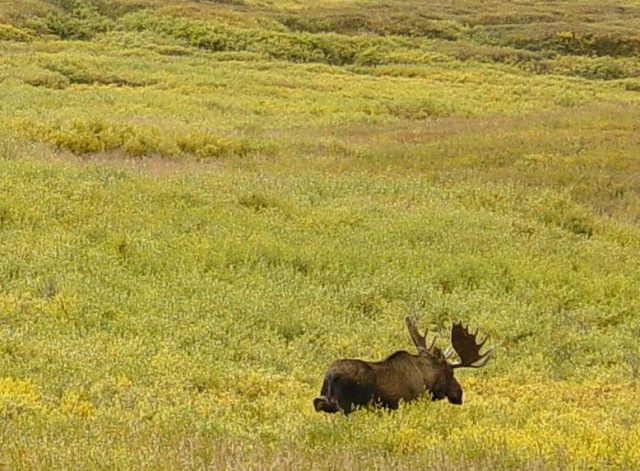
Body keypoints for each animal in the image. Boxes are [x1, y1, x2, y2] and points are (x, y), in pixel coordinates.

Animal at [313, 316, 492, 415]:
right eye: (450, 373)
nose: (459, 393)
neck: (426, 380)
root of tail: (330, 375)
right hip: (347, 404)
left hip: (326, 397)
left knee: (317, 402)